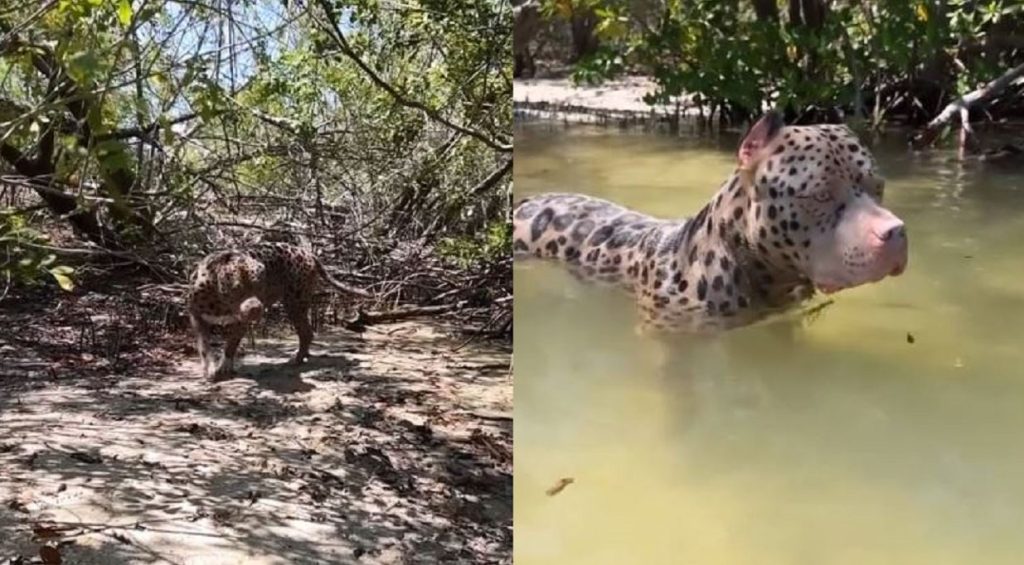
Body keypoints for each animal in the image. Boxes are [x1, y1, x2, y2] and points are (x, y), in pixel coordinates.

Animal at [189, 242, 372, 378]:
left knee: (306, 332)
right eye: (236, 288)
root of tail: (306, 252)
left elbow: (231, 343)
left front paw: (225, 366)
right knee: (307, 331)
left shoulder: (241, 321)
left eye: (259, 284)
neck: (220, 301)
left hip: (295, 303)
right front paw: (209, 367)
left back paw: (297, 359)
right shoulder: (196, 317)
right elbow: (204, 345)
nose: (255, 308)